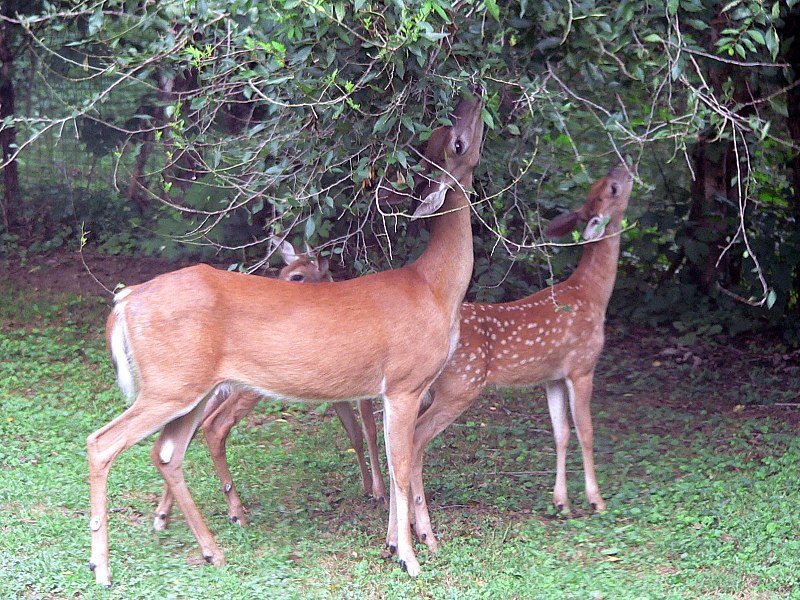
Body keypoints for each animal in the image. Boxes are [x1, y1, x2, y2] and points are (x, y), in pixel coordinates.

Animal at [151, 240, 388, 536]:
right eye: (283, 271)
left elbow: (356, 434)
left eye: (296, 276)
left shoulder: (338, 391)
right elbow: (370, 431)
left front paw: (367, 487)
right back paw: (234, 513)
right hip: (246, 389)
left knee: (186, 433)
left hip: (211, 392)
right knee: (213, 426)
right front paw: (379, 492)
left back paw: (163, 515)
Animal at [404, 164, 636, 552]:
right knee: (417, 439)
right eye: (613, 188)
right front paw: (596, 501)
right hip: (460, 385)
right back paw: (423, 533)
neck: (592, 294)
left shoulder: (552, 377)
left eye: (601, 184)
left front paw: (562, 503)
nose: (624, 167)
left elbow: (561, 433)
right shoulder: (582, 365)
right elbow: (587, 432)